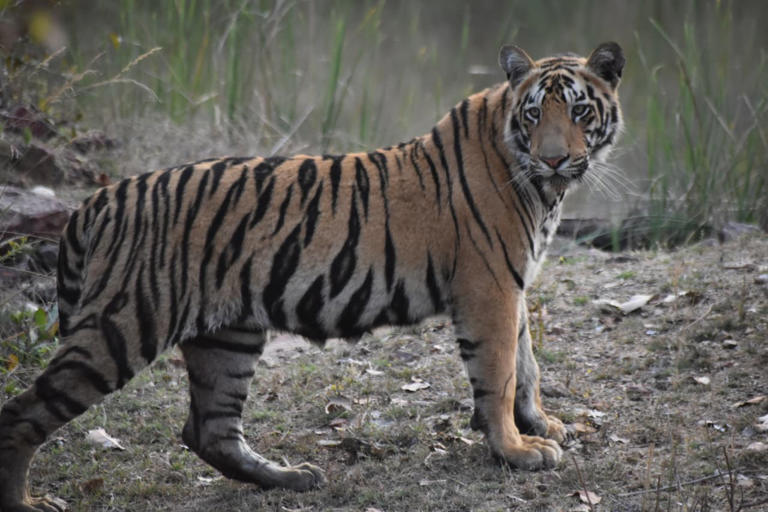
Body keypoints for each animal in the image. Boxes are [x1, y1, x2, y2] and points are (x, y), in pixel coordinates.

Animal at [0, 41, 624, 511]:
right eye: (534, 114)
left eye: (580, 112)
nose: (552, 158)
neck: (541, 187)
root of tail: (99, 199)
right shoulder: (488, 285)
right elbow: (498, 371)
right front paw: (516, 452)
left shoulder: (511, 283)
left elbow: (527, 363)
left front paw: (541, 425)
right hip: (121, 327)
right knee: (21, 413)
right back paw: (25, 503)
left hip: (227, 335)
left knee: (209, 431)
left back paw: (294, 478)